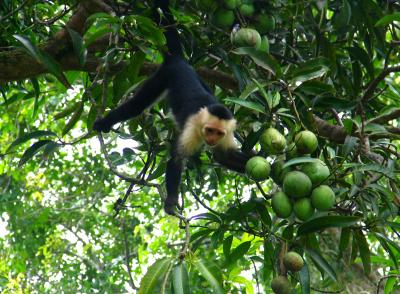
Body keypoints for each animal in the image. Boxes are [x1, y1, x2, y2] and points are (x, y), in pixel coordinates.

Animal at [94, 0, 250, 214]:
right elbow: (176, 158)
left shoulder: (227, 133)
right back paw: (104, 123)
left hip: (197, 76)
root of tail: (179, 61)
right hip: (163, 76)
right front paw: (171, 201)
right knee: (136, 106)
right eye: (209, 130)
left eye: (218, 133)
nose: (210, 139)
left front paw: (265, 164)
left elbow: (224, 157)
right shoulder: (192, 128)